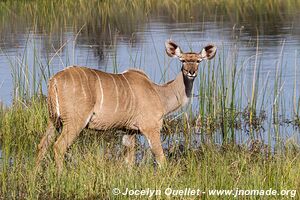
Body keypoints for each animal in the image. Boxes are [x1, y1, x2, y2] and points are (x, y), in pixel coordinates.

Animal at [36, 39, 217, 172]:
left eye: (198, 61)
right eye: (183, 60)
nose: (191, 72)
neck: (159, 93)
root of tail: (54, 80)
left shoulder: (129, 131)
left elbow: (128, 162)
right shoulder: (151, 128)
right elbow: (160, 158)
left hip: (54, 120)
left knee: (42, 145)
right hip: (75, 121)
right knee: (59, 147)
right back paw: (60, 176)